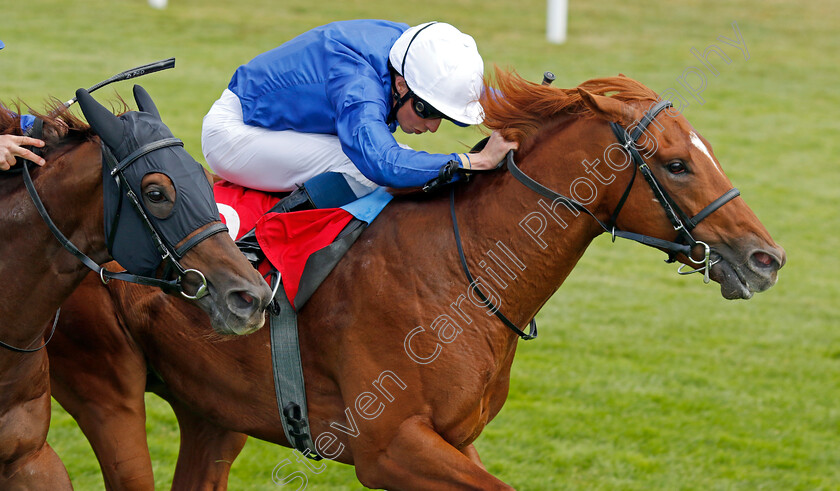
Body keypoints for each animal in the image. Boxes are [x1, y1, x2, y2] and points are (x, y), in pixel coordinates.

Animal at [49, 71, 784, 490]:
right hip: (106, 386)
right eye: (678, 164)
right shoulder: (392, 445)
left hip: (213, 408)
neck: (466, 271)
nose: (766, 258)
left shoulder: (453, 440)